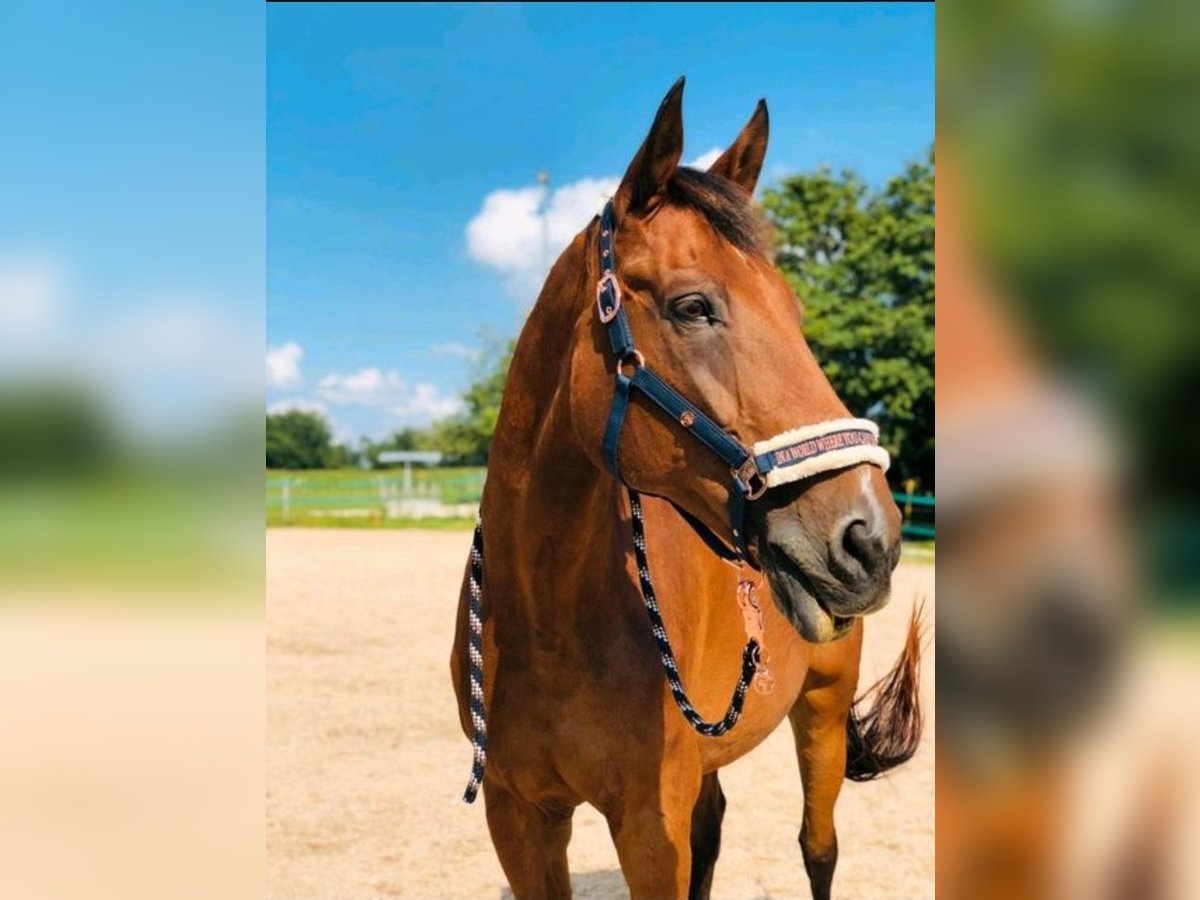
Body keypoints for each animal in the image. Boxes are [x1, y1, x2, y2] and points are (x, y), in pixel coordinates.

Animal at [453, 79, 921, 900]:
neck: (544, 616)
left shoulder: (648, 821)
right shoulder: (518, 817)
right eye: (693, 306)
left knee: (819, 846)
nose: (870, 538)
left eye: (796, 313)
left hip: (822, 712)